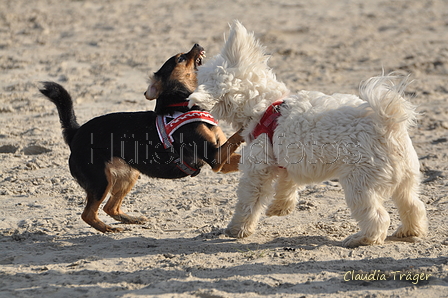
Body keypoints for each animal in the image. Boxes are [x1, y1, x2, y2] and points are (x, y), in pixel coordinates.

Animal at [40, 44, 243, 233]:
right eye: (181, 58)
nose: (197, 44)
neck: (183, 106)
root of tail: (76, 133)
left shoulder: (223, 161)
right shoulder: (215, 158)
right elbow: (237, 135)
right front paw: (248, 123)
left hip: (128, 175)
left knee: (110, 208)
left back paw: (131, 219)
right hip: (101, 181)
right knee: (88, 214)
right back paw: (108, 229)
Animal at [189, 21, 428, 247]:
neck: (264, 105)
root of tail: (388, 124)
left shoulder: (258, 169)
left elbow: (249, 200)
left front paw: (237, 228)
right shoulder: (285, 163)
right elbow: (287, 186)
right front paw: (279, 208)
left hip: (360, 185)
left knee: (378, 219)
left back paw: (361, 239)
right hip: (406, 180)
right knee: (414, 206)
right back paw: (409, 231)